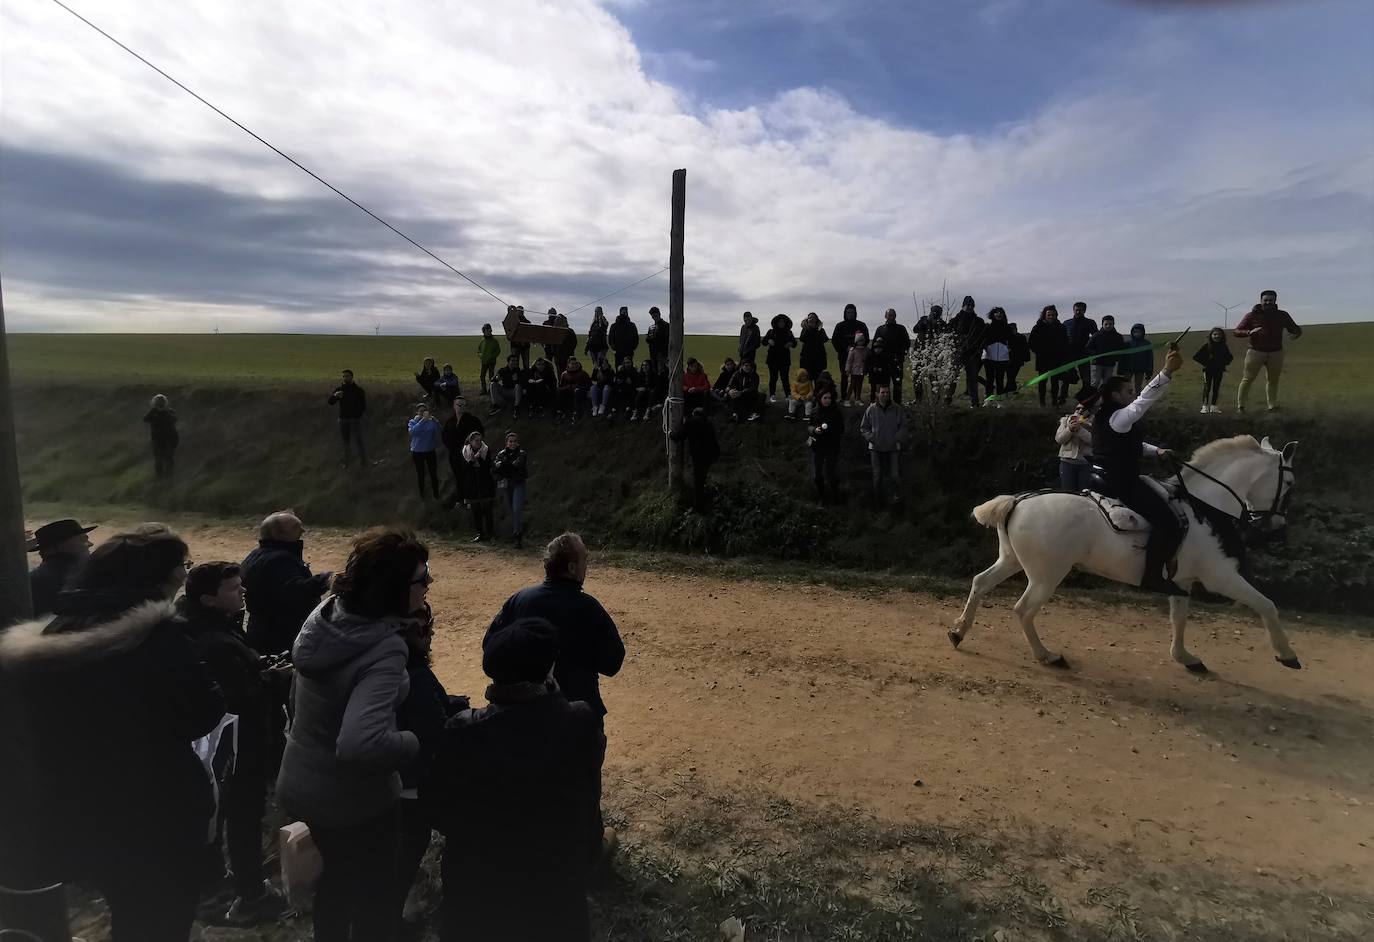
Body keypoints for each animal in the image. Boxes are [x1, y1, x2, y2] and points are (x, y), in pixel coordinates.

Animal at [956, 439, 1297, 675]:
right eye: (1290, 485)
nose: (1278, 526)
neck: (1203, 506)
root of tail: (1018, 501)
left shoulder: (1182, 581)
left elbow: (1179, 618)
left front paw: (1185, 657)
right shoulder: (1221, 577)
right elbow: (1267, 605)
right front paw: (1287, 655)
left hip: (1012, 560)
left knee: (981, 583)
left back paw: (958, 632)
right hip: (1046, 576)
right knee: (1024, 609)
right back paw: (1047, 655)